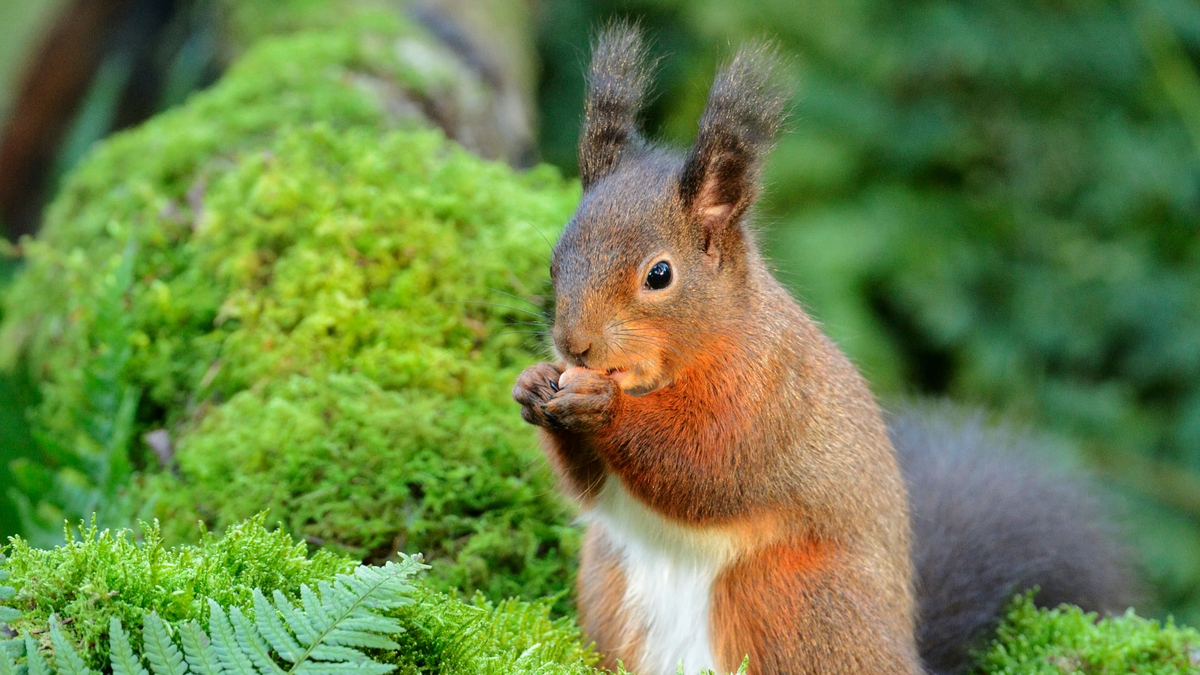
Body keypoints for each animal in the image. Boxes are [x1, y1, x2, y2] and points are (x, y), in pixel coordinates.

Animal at [512, 24, 1136, 675]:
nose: (574, 345)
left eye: (660, 275)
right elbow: (589, 486)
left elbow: (705, 464)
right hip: (610, 581)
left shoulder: (768, 392)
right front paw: (533, 384)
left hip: (796, 600)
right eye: (556, 259)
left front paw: (602, 406)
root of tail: (906, 652)